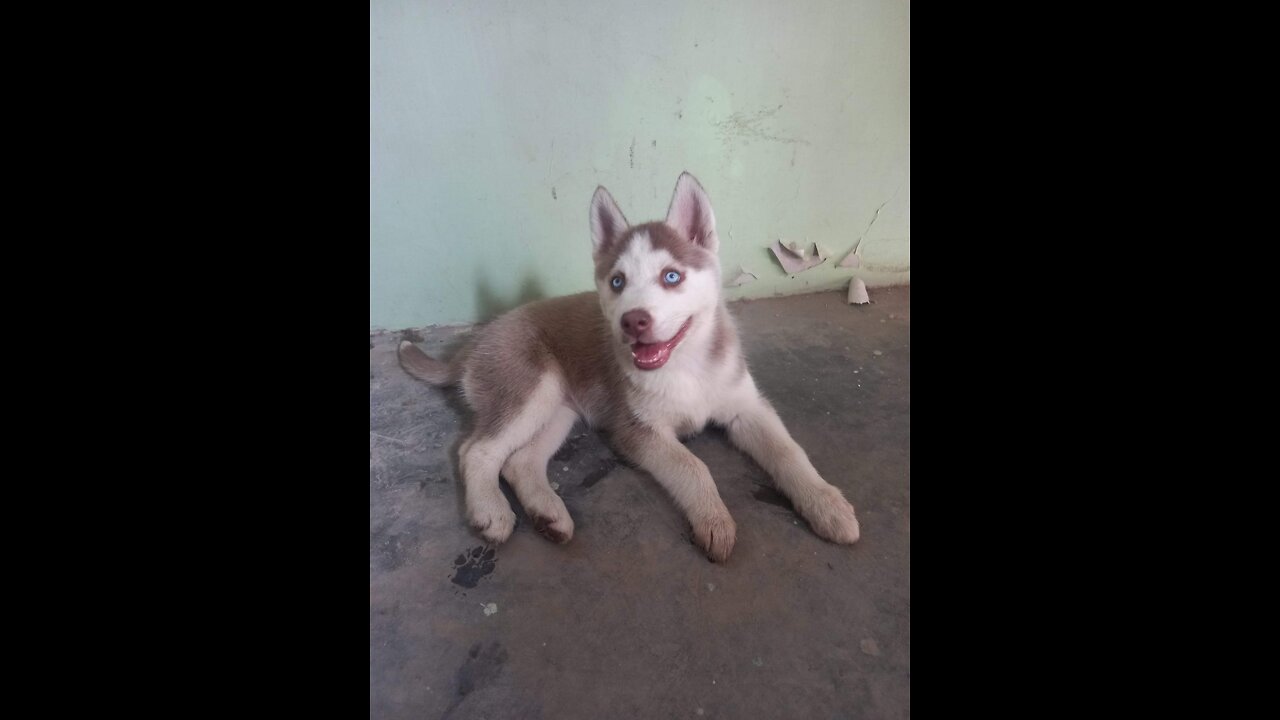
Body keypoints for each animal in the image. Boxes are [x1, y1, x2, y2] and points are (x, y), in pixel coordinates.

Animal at [399, 174, 860, 561]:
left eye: (672, 276)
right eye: (617, 282)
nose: (632, 321)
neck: (687, 365)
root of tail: (477, 340)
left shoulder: (747, 409)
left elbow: (788, 451)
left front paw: (827, 504)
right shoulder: (637, 430)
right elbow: (693, 466)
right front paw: (714, 520)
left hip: (560, 409)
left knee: (519, 462)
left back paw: (550, 515)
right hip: (531, 387)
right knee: (476, 450)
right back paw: (491, 511)